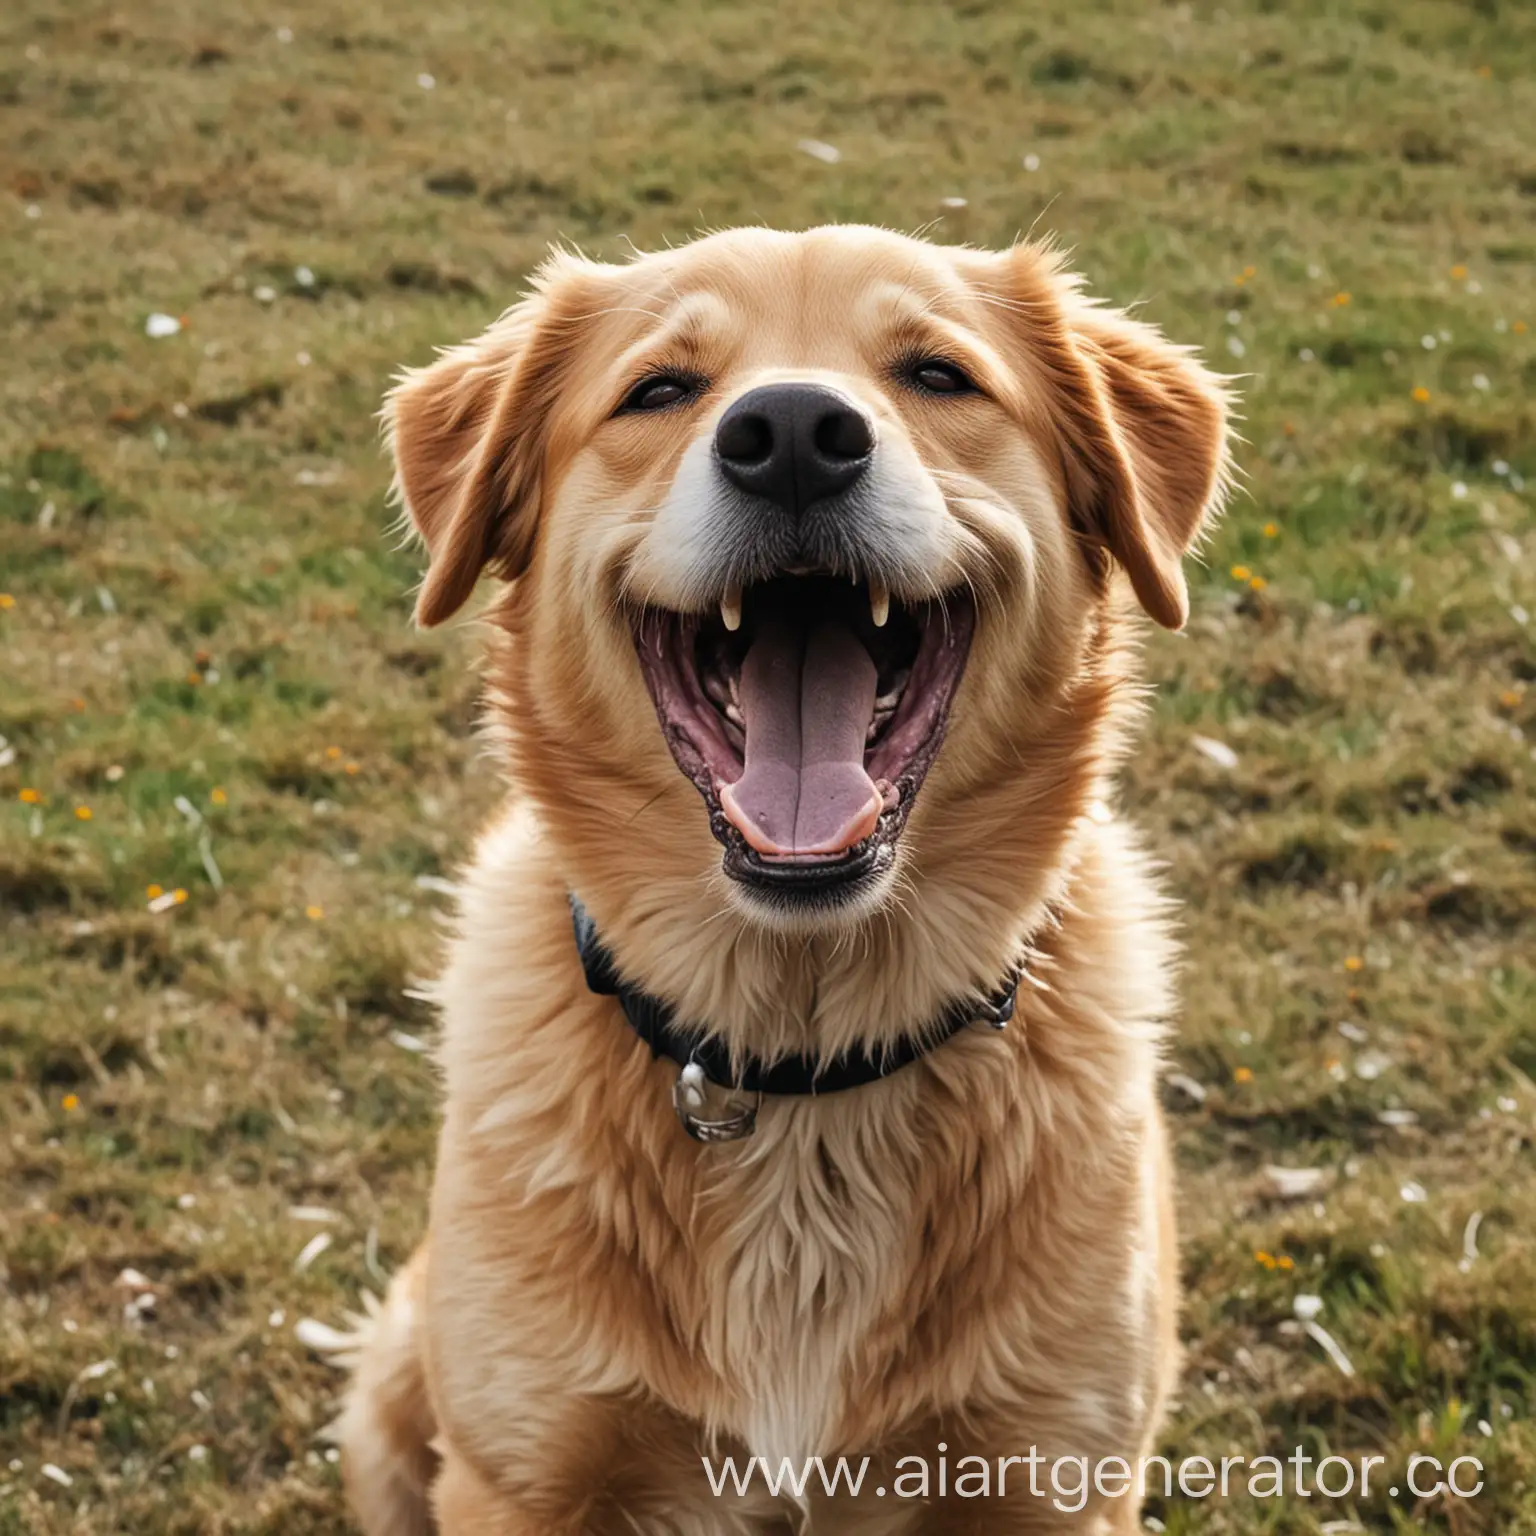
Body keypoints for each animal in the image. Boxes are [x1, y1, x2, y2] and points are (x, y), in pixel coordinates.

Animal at [339, 222, 1234, 1529]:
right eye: (660, 390)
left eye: (938, 375)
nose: (798, 435)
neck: (802, 1070)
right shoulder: (528, 1475)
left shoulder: (1051, 1477)